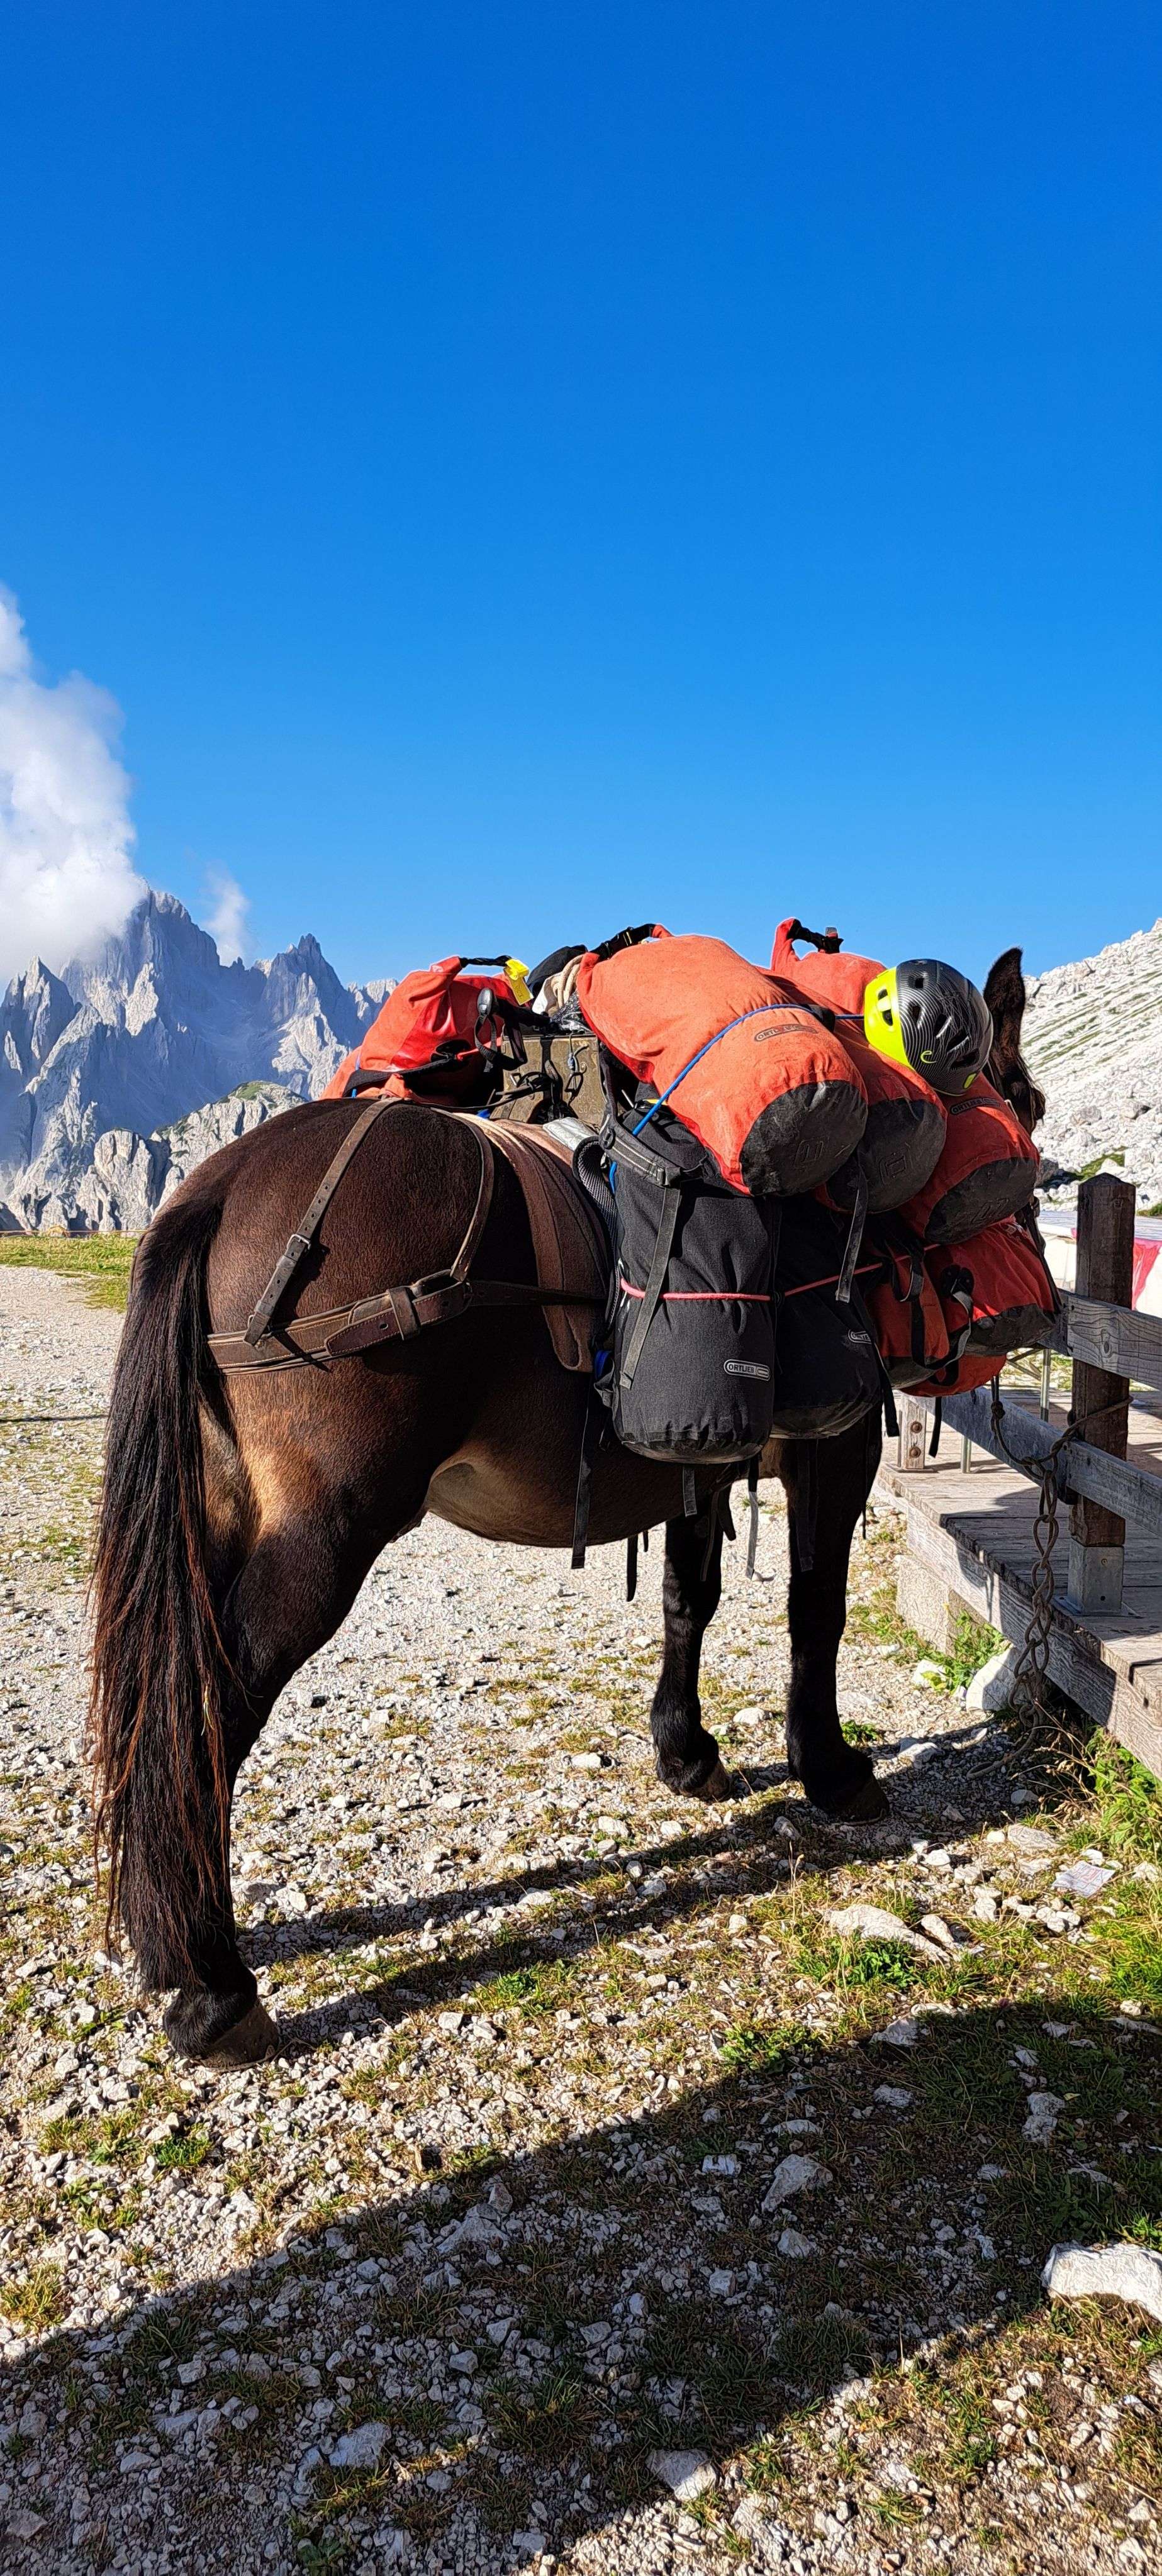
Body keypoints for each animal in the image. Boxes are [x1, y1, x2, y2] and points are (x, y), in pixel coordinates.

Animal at [89, 947, 1042, 2067]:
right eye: (1023, 1101)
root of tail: (222, 1186)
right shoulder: (831, 1449)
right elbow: (816, 1612)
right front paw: (831, 1770)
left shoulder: (698, 1462)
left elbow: (687, 1600)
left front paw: (686, 1753)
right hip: (322, 1538)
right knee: (208, 1707)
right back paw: (209, 1983)